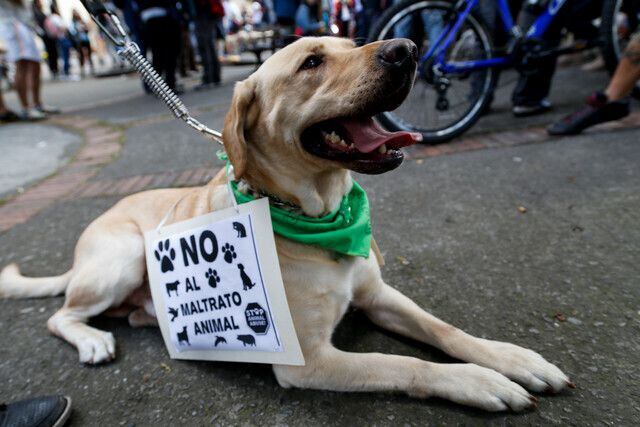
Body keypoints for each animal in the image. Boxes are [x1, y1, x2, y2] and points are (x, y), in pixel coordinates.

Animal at [0, 36, 572, 412]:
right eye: (312, 63)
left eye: (353, 42)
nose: (408, 49)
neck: (318, 214)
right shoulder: (310, 359)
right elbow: (405, 364)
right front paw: (478, 382)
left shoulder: (378, 295)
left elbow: (444, 329)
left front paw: (508, 358)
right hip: (122, 258)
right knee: (60, 315)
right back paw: (92, 340)